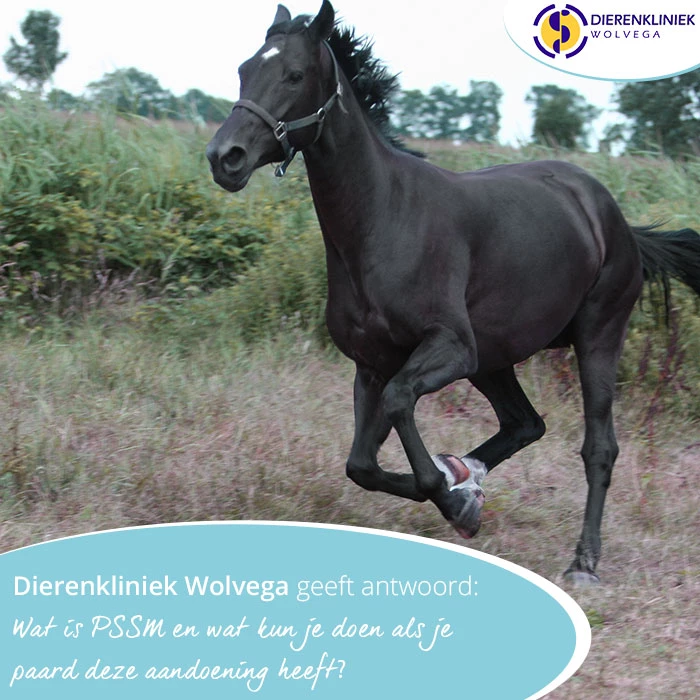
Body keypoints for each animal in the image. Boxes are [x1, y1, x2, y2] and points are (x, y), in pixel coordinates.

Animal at [206, 1, 700, 582]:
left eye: (294, 75)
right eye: (243, 70)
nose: (225, 156)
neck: (383, 220)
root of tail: (614, 218)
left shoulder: (448, 348)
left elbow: (403, 414)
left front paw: (456, 498)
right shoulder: (372, 364)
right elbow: (361, 465)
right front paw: (461, 491)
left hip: (595, 336)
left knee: (599, 447)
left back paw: (583, 561)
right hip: (494, 358)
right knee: (525, 423)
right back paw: (469, 470)